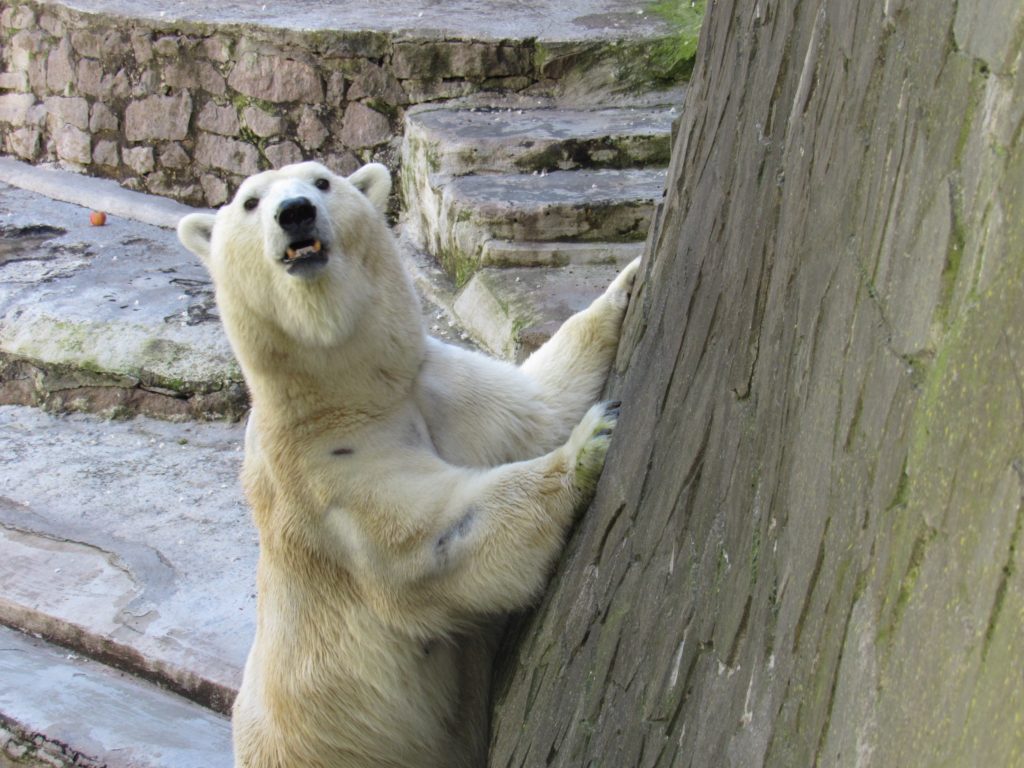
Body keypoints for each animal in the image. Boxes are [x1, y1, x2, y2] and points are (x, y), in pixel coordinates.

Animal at [177, 162, 638, 768]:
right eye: (251, 201)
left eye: (321, 181)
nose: (294, 212)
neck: (353, 395)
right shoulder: (326, 472)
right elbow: (430, 544)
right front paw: (591, 439)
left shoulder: (439, 388)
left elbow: (541, 405)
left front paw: (627, 281)